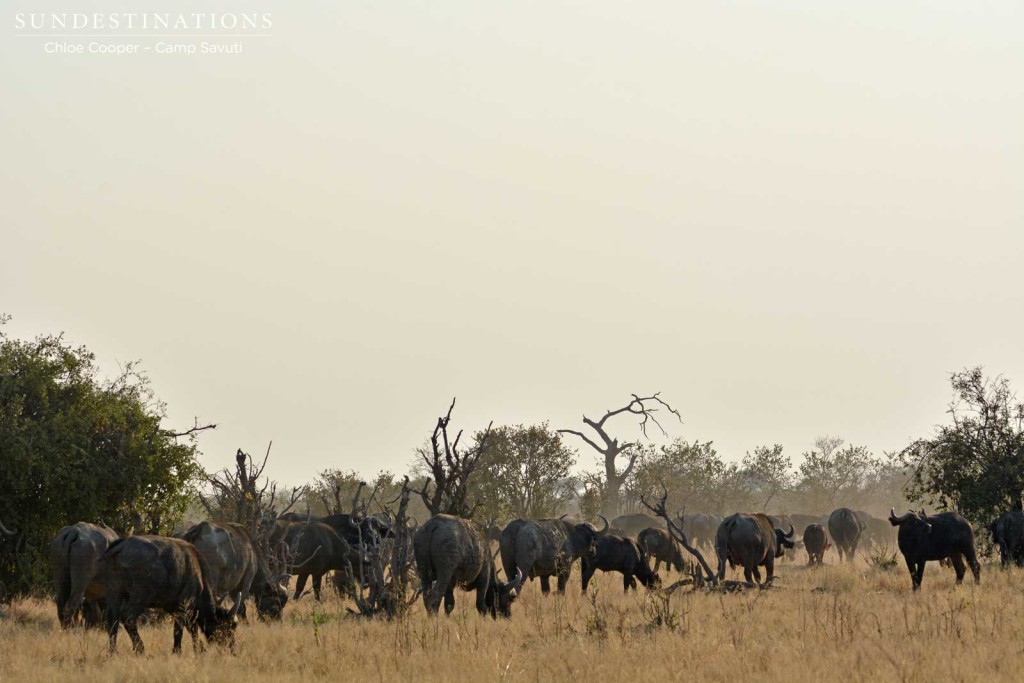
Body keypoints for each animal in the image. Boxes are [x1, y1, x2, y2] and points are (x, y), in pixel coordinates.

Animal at [99, 536, 235, 655]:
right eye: (227, 627)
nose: (232, 647)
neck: (199, 573)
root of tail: (122, 546)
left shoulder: (172, 607)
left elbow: (191, 627)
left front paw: (200, 649)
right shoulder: (184, 605)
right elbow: (180, 629)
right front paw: (177, 650)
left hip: (114, 592)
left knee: (112, 618)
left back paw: (113, 651)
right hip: (140, 597)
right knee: (128, 617)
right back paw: (140, 648)